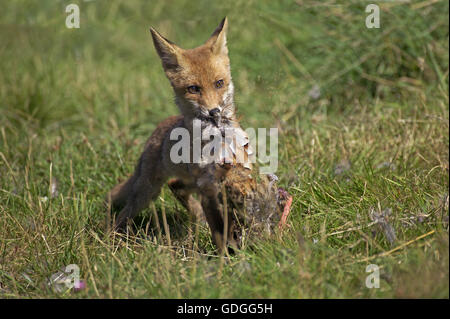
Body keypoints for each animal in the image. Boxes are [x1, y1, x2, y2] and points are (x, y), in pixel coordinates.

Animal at [108, 18, 246, 252]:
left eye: (219, 83)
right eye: (194, 88)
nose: (214, 112)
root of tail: (159, 129)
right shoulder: (208, 188)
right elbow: (219, 231)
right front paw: (227, 255)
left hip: (186, 182)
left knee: (176, 187)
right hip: (147, 192)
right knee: (124, 213)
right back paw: (113, 239)